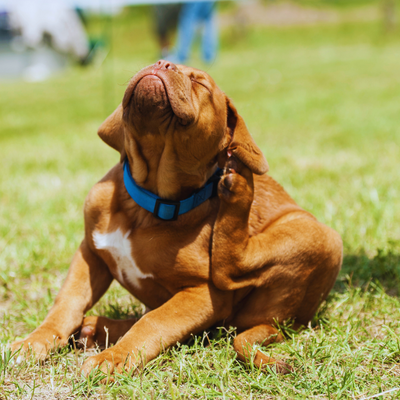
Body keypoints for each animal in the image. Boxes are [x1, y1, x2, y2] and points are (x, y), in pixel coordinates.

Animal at [13, 60, 344, 376]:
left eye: (200, 83)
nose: (162, 64)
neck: (146, 205)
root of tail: (282, 323)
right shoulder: (90, 252)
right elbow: (66, 303)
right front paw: (35, 341)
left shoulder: (204, 295)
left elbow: (155, 322)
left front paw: (114, 359)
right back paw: (96, 328)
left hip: (321, 237)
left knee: (230, 271)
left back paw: (240, 186)